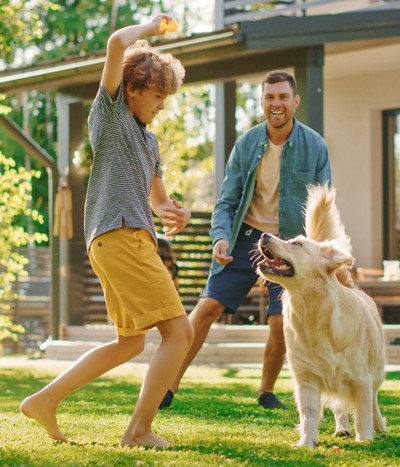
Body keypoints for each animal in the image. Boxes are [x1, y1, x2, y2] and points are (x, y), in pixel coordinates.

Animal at [256, 185, 384, 448]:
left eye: (296, 243)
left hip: (377, 370)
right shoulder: (306, 378)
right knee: (340, 408)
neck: (312, 309)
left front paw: (365, 439)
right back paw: (342, 428)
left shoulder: (362, 379)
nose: (264, 235)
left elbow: (363, 412)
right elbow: (309, 414)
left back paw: (379, 426)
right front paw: (306, 442)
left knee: (374, 399)